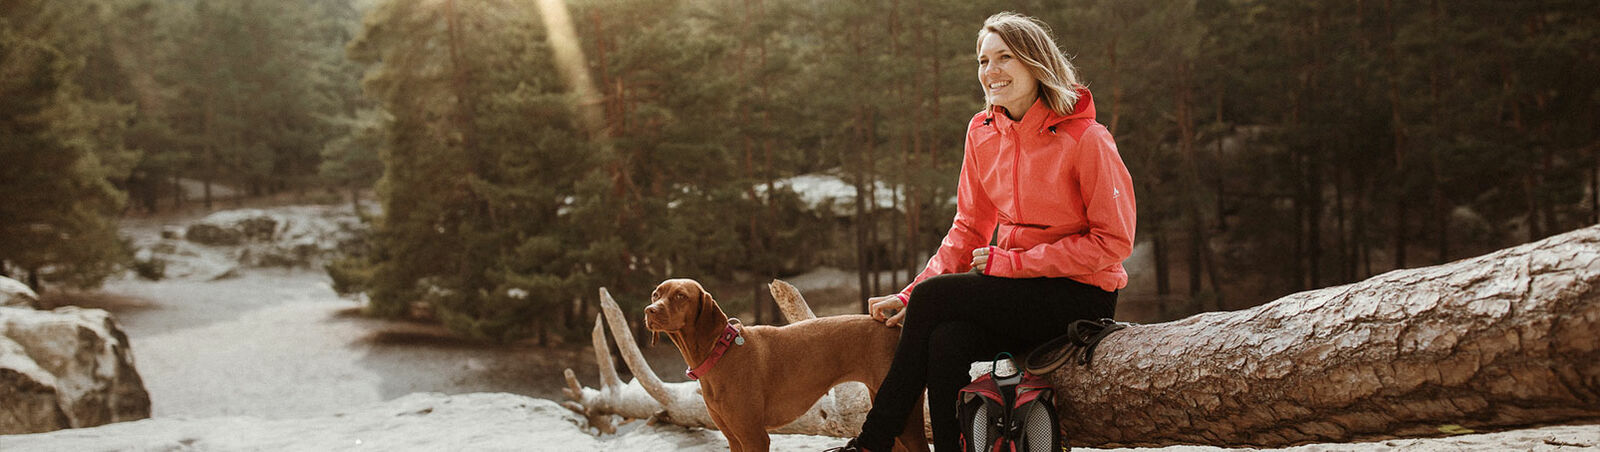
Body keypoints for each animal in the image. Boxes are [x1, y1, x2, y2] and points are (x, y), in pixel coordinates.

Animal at [643, 278, 934, 452]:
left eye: (680, 296)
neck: (719, 352)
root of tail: (894, 327)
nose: (649, 310)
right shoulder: (733, 437)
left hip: (908, 418)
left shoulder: (754, 436)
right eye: (656, 294)